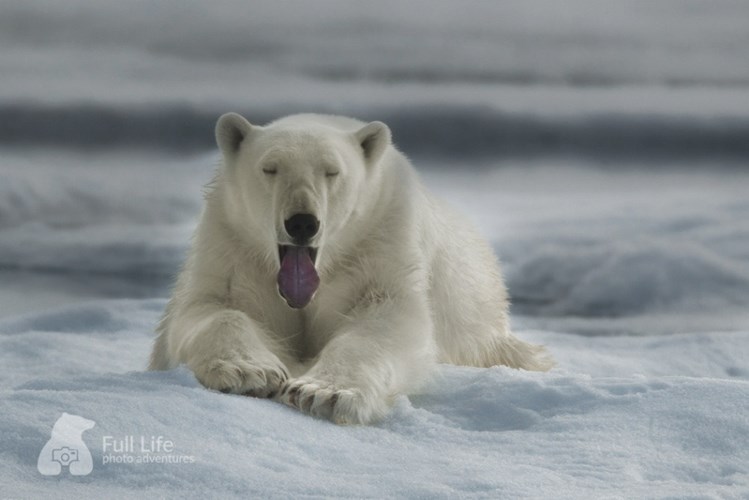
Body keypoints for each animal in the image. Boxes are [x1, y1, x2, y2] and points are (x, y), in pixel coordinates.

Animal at [149, 112, 552, 422]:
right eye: (270, 168)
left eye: (331, 171)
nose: (302, 223)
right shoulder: (231, 246)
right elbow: (214, 307)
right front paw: (252, 372)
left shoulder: (384, 238)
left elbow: (385, 318)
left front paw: (322, 393)